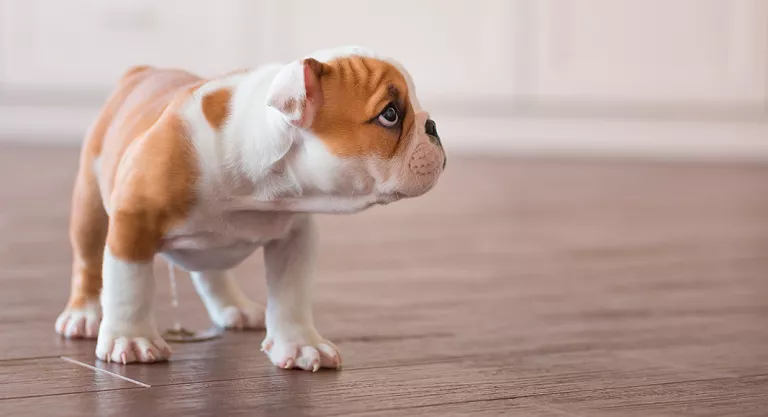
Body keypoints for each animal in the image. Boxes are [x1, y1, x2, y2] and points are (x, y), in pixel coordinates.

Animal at [55, 46, 444, 370]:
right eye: (390, 115)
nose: (433, 125)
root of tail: (141, 72)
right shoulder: (134, 220)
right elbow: (129, 285)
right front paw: (131, 339)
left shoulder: (295, 238)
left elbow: (291, 293)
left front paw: (300, 345)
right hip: (90, 205)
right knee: (88, 261)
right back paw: (84, 315)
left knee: (209, 269)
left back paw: (235, 307)